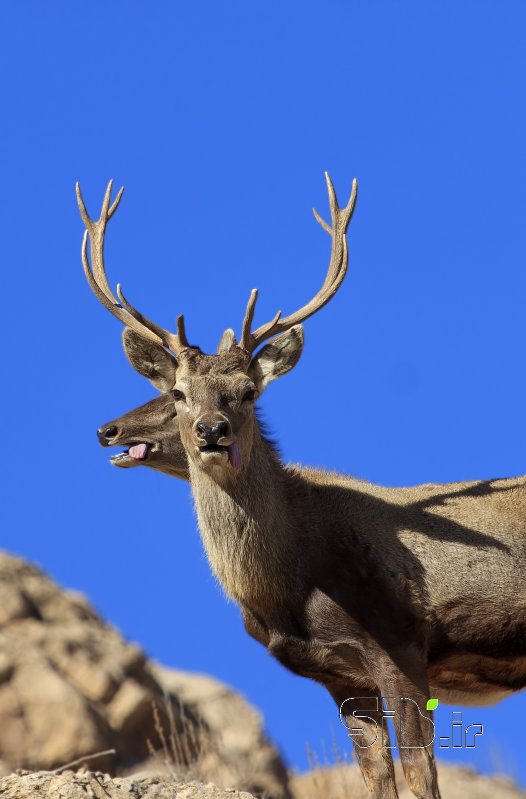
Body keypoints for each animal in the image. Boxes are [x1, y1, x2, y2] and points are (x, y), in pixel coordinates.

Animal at [75, 177, 526, 799]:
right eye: (180, 392)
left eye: (247, 392)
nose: (211, 432)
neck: (290, 581)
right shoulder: (340, 676)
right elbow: (376, 779)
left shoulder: (401, 641)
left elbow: (420, 776)